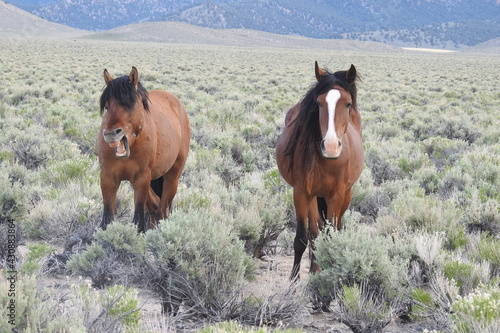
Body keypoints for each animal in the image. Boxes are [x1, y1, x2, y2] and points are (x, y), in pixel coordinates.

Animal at [97, 66, 189, 232]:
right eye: (107, 106)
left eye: (130, 104)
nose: (111, 134)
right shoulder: (107, 178)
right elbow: (106, 221)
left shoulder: (141, 179)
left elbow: (138, 220)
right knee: (156, 206)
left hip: (172, 176)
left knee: (162, 209)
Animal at [278, 61, 364, 278]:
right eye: (318, 104)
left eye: (347, 104)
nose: (331, 146)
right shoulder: (301, 192)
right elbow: (302, 237)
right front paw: (293, 279)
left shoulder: (337, 195)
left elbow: (331, 234)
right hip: (313, 196)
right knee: (315, 230)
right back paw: (314, 267)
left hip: (346, 194)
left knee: (335, 227)